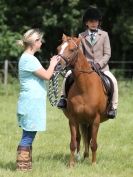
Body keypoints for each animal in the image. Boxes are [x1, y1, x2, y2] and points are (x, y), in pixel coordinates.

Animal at [57, 34, 108, 167]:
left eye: (72, 50)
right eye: (58, 48)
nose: (57, 65)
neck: (85, 87)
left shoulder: (95, 120)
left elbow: (93, 143)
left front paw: (94, 164)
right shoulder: (73, 119)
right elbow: (73, 143)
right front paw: (71, 164)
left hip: (88, 121)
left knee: (88, 138)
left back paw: (86, 157)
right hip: (81, 121)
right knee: (80, 138)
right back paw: (81, 157)